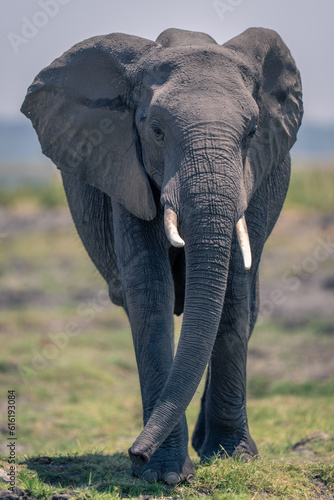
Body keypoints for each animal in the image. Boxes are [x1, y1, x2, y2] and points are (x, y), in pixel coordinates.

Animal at [21, 27, 302, 484]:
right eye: (156, 130)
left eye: (251, 132)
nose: (135, 453)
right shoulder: (123, 167)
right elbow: (151, 290)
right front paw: (164, 475)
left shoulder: (257, 176)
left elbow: (233, 289)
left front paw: (233, 459)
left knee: (251, 302)